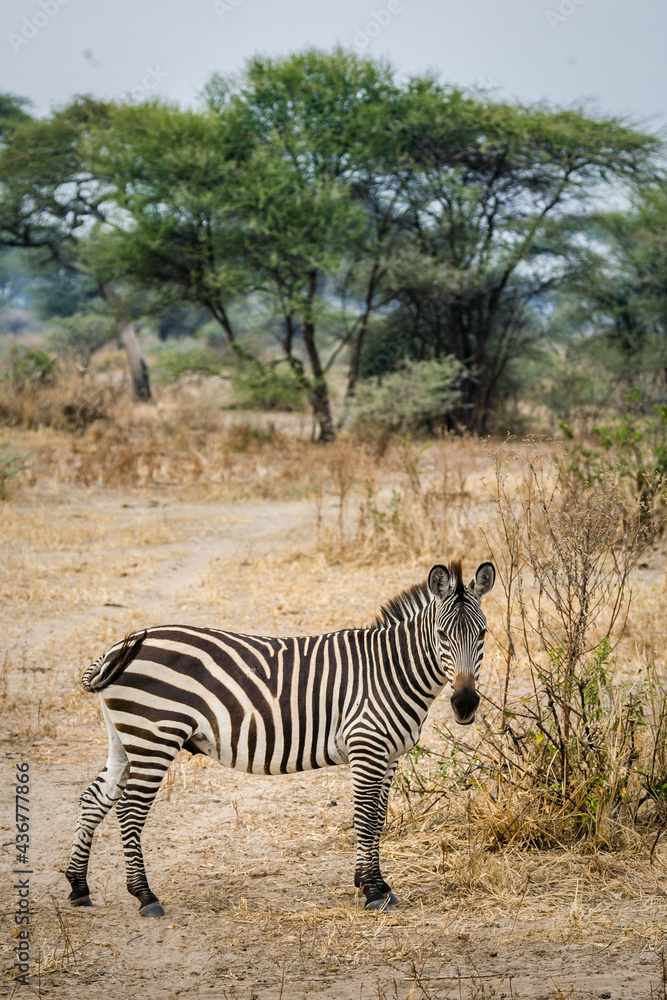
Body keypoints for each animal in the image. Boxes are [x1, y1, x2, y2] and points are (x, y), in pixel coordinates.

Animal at [65, 559, 495, 916]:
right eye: (441, 634)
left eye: (483, 633)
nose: (465, 704)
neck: (392, 670)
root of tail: (116, 648)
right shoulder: (367, 747)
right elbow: (365, 817)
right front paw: (374, 890)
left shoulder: (389, 756)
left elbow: (379, 819)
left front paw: (370, 882)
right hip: (154, 738)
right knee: (129, 810)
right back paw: (145, 896)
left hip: (127, 739)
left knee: (95, 799)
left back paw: (78, 887)